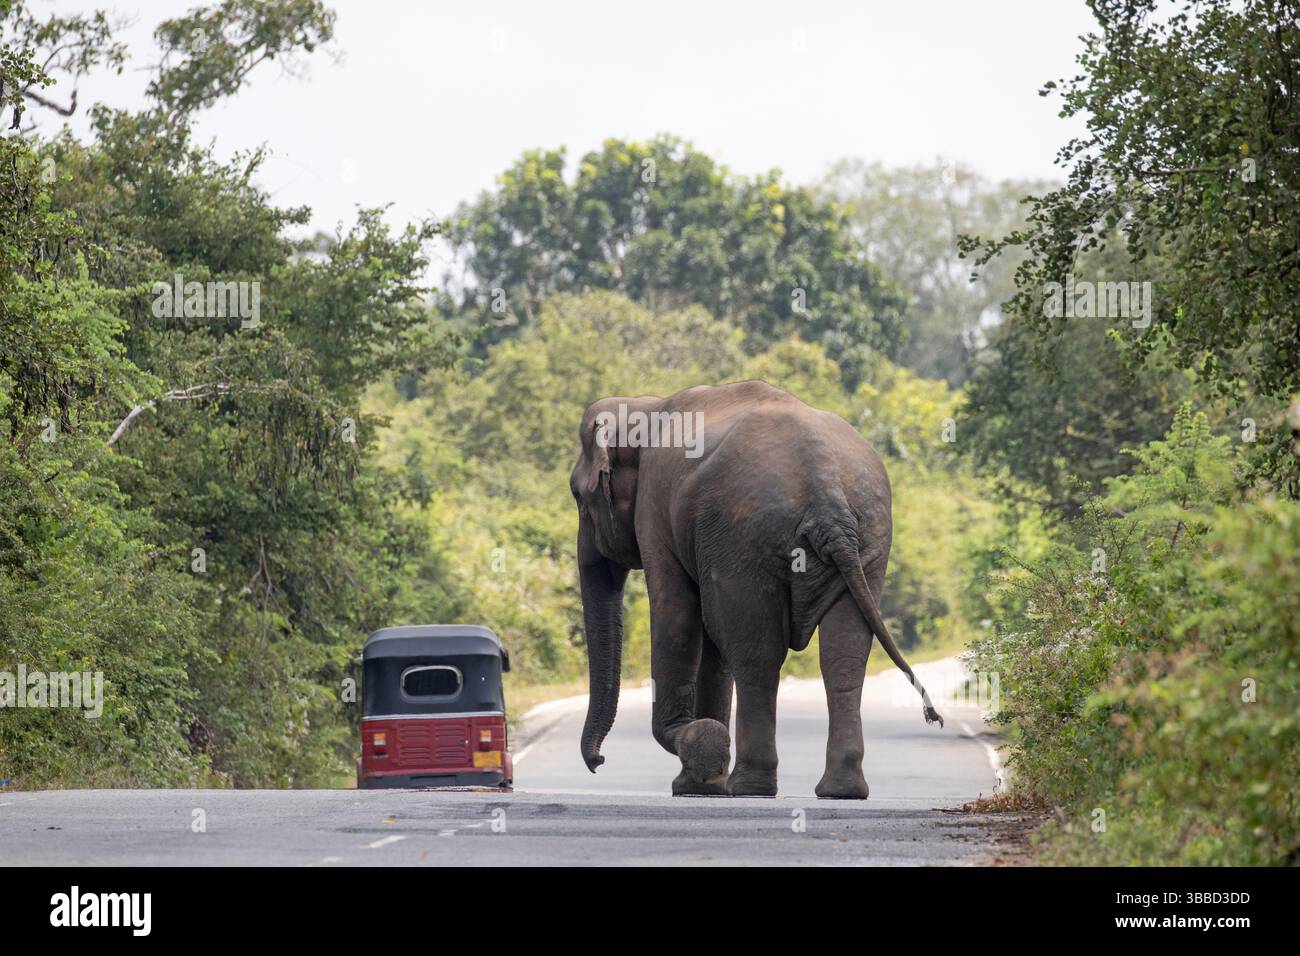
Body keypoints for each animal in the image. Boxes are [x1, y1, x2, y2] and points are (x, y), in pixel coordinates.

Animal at [570, 380, 943, 799]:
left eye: (578, 499)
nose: (598, 762)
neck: (646, 406)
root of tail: (825, 486)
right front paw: (703, 778)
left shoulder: (654, 509)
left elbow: (678, 614)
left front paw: (699, 763)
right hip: (867, 538)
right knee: (843, 652)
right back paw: (841, 790)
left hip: (743, 538)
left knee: (754, 653)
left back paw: (750, 786)